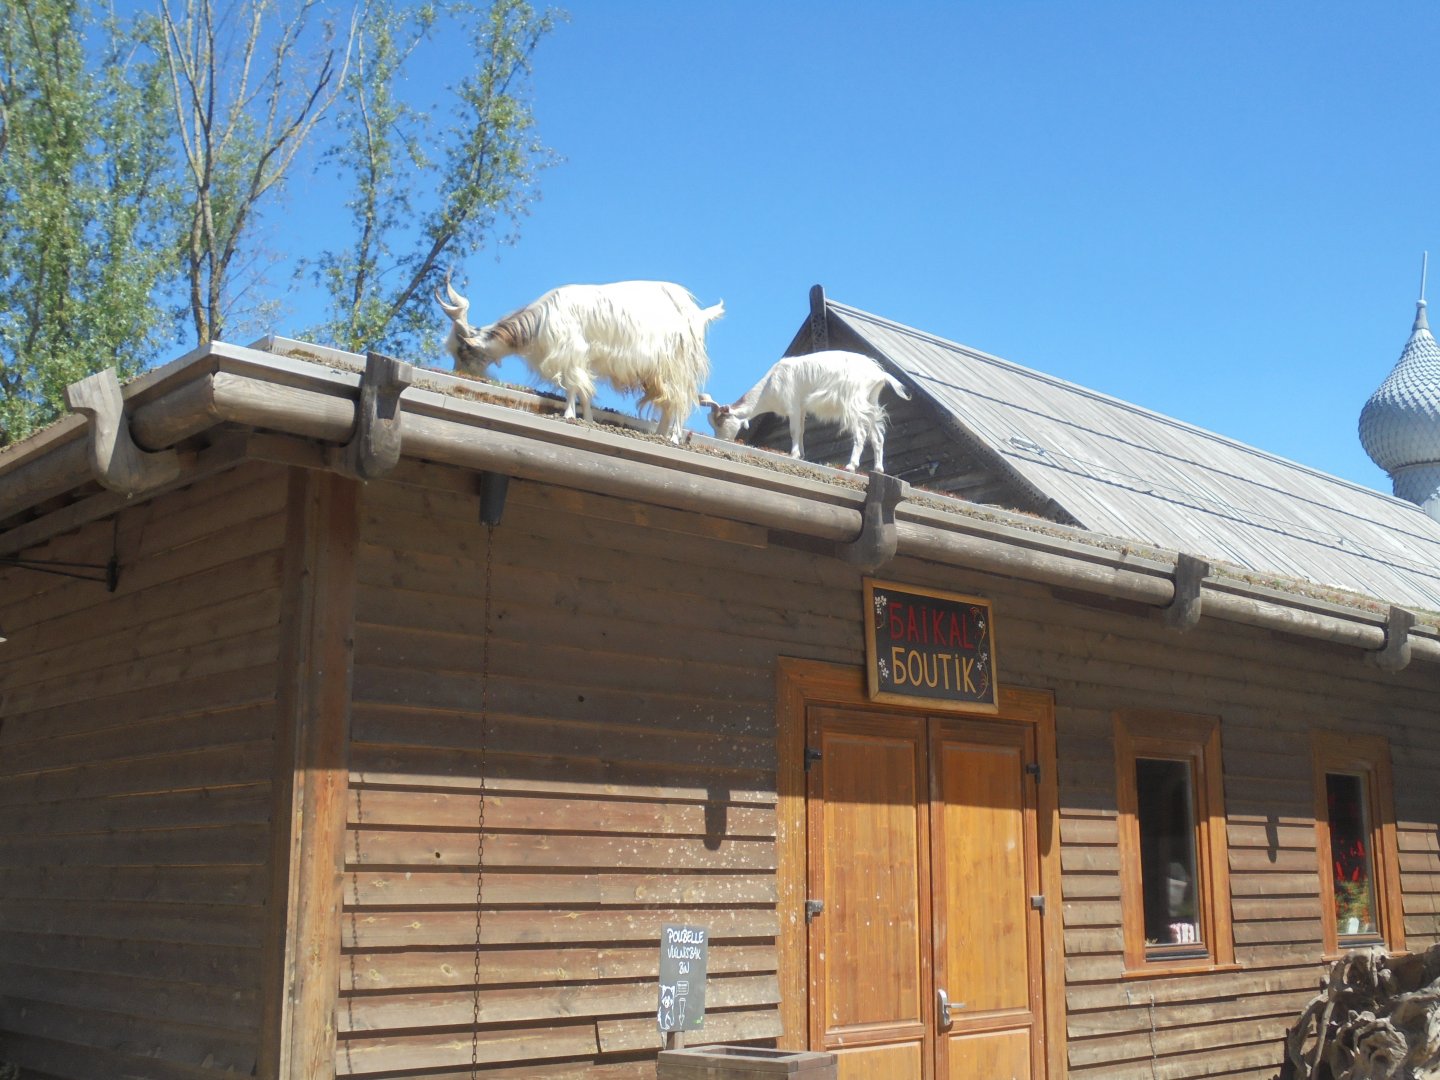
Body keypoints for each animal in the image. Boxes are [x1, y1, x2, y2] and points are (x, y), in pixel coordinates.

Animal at [435, 277, 723, 443]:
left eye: (464, 351)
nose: (460, 374)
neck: (541, 320)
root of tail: (698, 314)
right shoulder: (579, 358)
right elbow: (584, 390)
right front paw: (588, 419)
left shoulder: (570, 351)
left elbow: (573, 386)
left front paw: (569, 415)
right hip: (659, 372)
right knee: (669, 402)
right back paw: (660, 433)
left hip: (678, 365)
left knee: (681, 399)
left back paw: (673, 437)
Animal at [697, 349, 911, 473]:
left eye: (721, 422)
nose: (721, 440)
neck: (770, 384)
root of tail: (879, 374)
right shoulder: (801, 409)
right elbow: (800, 431)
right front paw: (800, 454)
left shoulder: (793, 405)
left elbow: (794, 430)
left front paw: (793, 455)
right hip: (871, 401)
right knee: (877, 435)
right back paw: (878, 468)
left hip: (854, 403)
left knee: (860, 433)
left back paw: (851, 465)